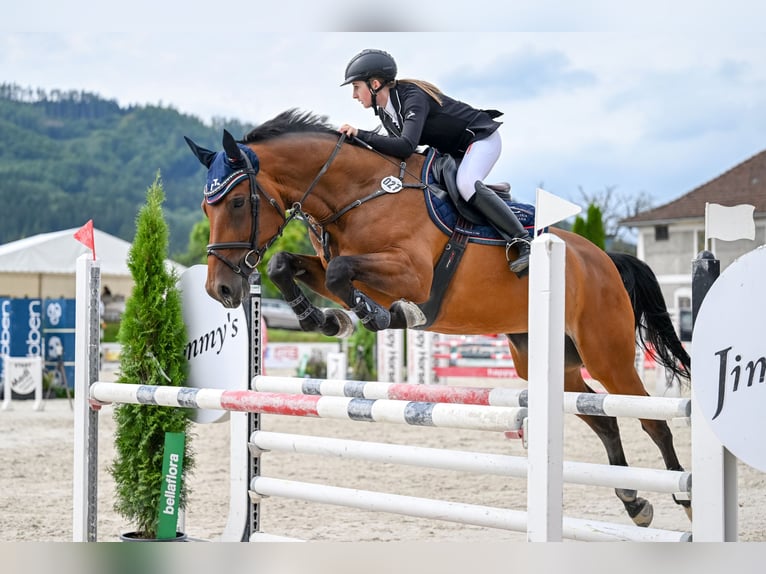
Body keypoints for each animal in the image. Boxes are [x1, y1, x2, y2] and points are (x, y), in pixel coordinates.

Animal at [184, 108, 688, 532]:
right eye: (206, 207)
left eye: (236, 203)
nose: (220, 290)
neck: (355, 194)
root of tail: (601, 257)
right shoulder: (336, 266)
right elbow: (285, 265)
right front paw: (327, 320)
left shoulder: (411, 273)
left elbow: (343, 272)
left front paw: (381, 315)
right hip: (543, 360)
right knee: (603, 419)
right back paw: (634, 502)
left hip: (605, 352)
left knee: (650, 419)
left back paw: (683, 497)